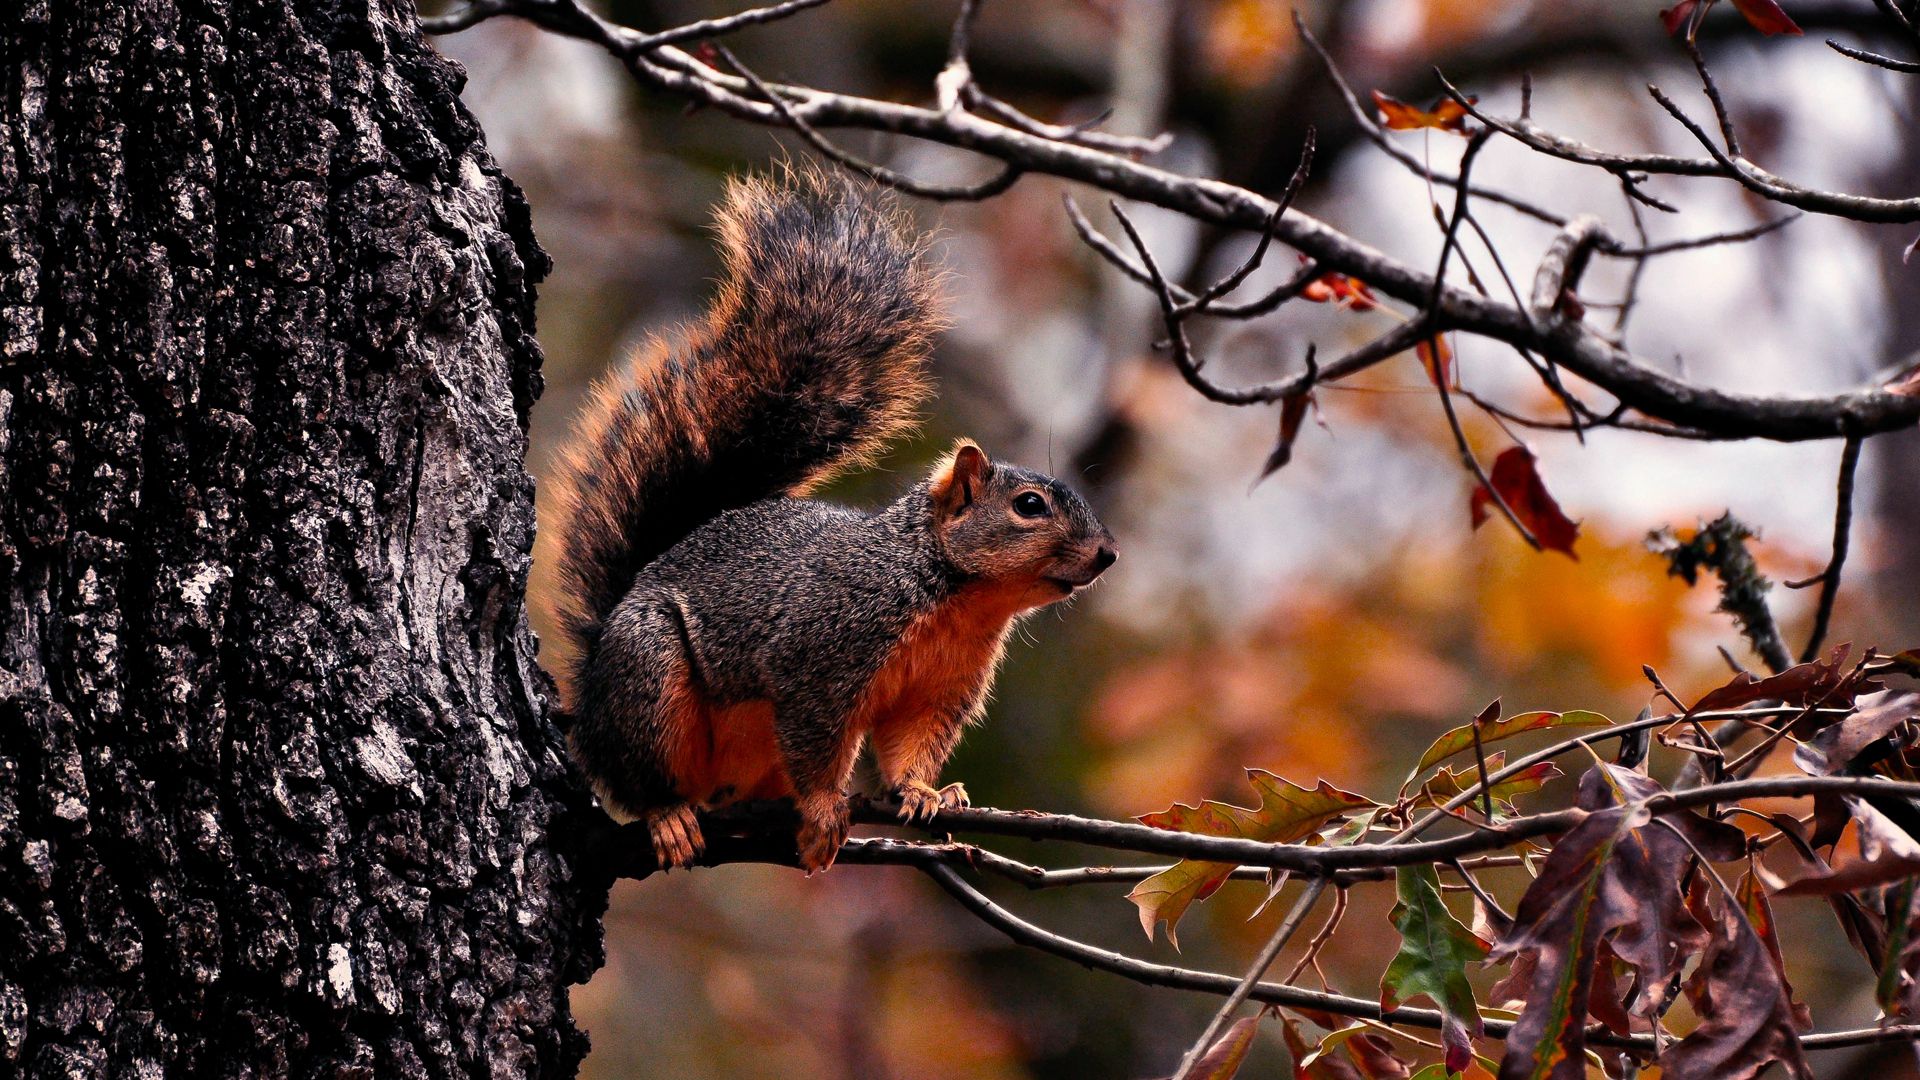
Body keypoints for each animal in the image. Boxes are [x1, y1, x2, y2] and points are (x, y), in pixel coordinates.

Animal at [546, 170, 1117, 874]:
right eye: (1030, 506)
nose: (1107, 553)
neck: (956, 597)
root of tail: (592, 680)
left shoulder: (939, 689)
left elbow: (911, 744)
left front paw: (925, 791)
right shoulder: (822, 655)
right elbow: (817, 740)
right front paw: (822, 809)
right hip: (646, 674)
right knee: (637, 773)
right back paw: (670, 814)